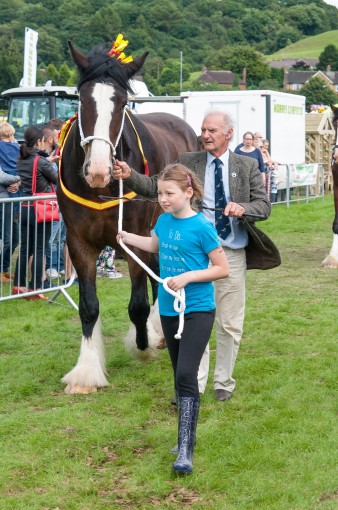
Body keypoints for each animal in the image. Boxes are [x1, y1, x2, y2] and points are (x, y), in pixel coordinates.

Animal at [57, 40, 199, 394]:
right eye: (81, 99)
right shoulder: (79, 242)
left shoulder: (134, 237)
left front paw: (143, 345)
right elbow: (89, 306)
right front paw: (86, 372)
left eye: (121, 102)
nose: (97, 170)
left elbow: (137, 305)